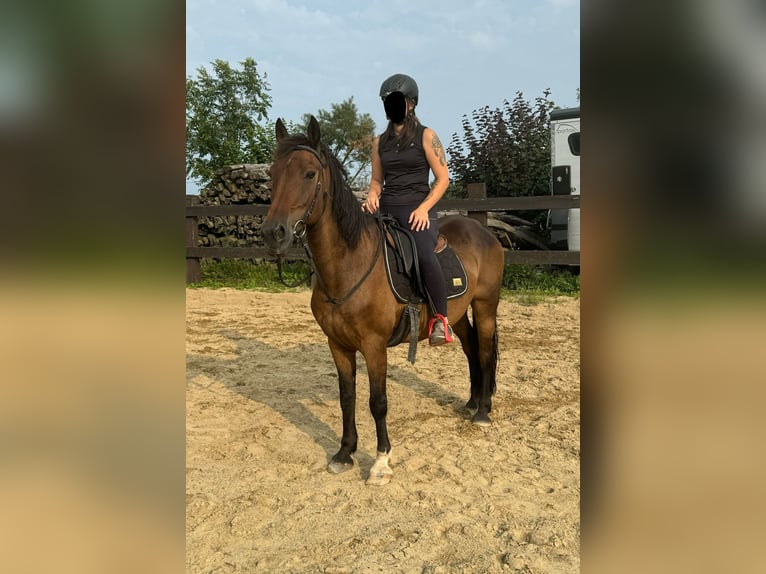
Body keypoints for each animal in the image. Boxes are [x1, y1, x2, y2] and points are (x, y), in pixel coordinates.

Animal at [260, 116, 508, 486]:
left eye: (309, 173)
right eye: (272, 173)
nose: (273, 233)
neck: (350, 263)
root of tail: (485, 232)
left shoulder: (374, 345)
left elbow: (377, 402)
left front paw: (380, 462)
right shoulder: (338, 344)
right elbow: (347, 397)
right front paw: (344, 453)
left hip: (485, 305)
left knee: (486, 350)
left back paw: (482, 411)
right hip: (457, 313)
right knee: (470, 348)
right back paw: (471, 402)